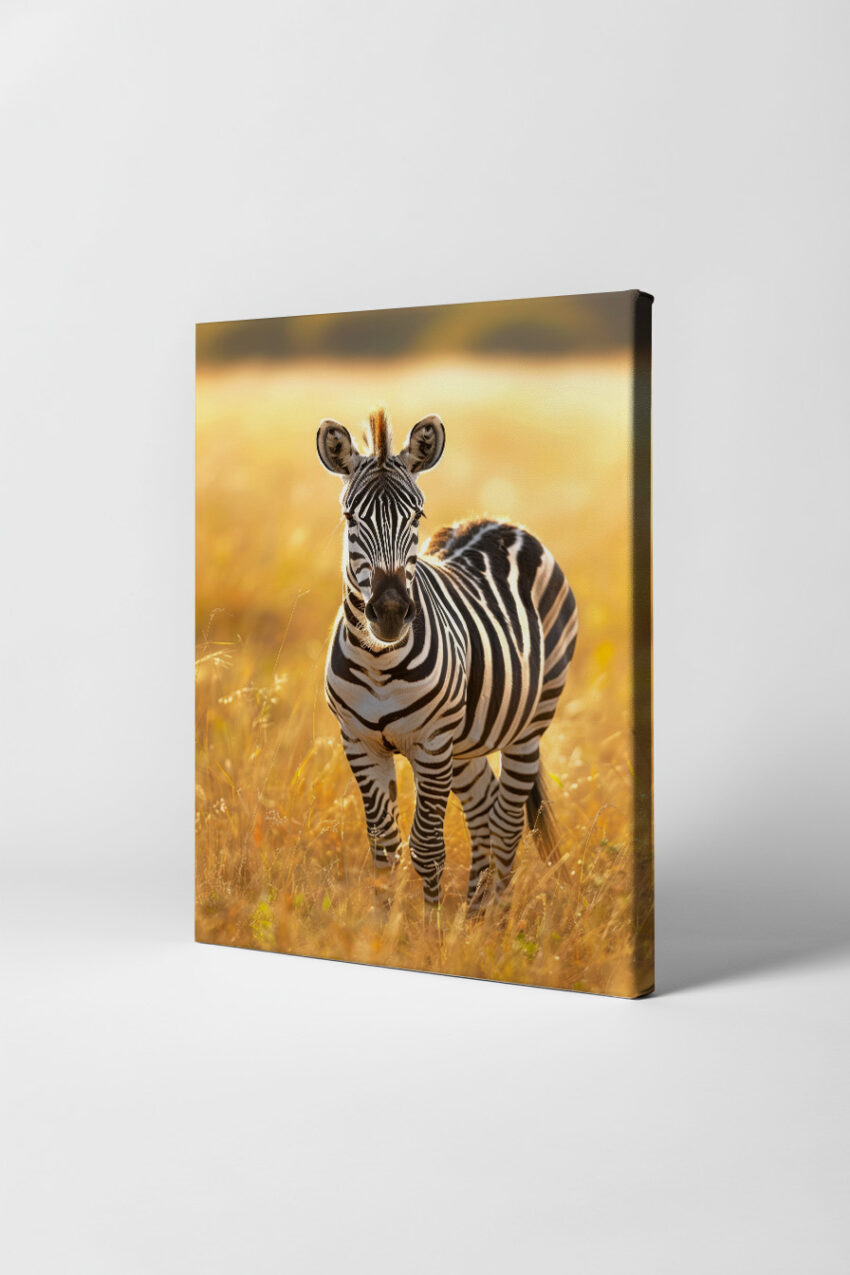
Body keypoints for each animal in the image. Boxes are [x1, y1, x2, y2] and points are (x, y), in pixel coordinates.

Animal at [317, 406, 577, 918]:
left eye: (416, 515)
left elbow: (427, 847)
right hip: (467, 742)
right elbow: (384, 848)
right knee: (484, 809)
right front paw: (384, 926)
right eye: (350, 517)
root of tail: (498, 521)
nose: (390, 610)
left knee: (506, 822)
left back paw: (496, 918)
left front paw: (431, 929)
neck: (379, 665)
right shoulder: (359, 743)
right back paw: (474, 914)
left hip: (528, 727)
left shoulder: (432, 744)